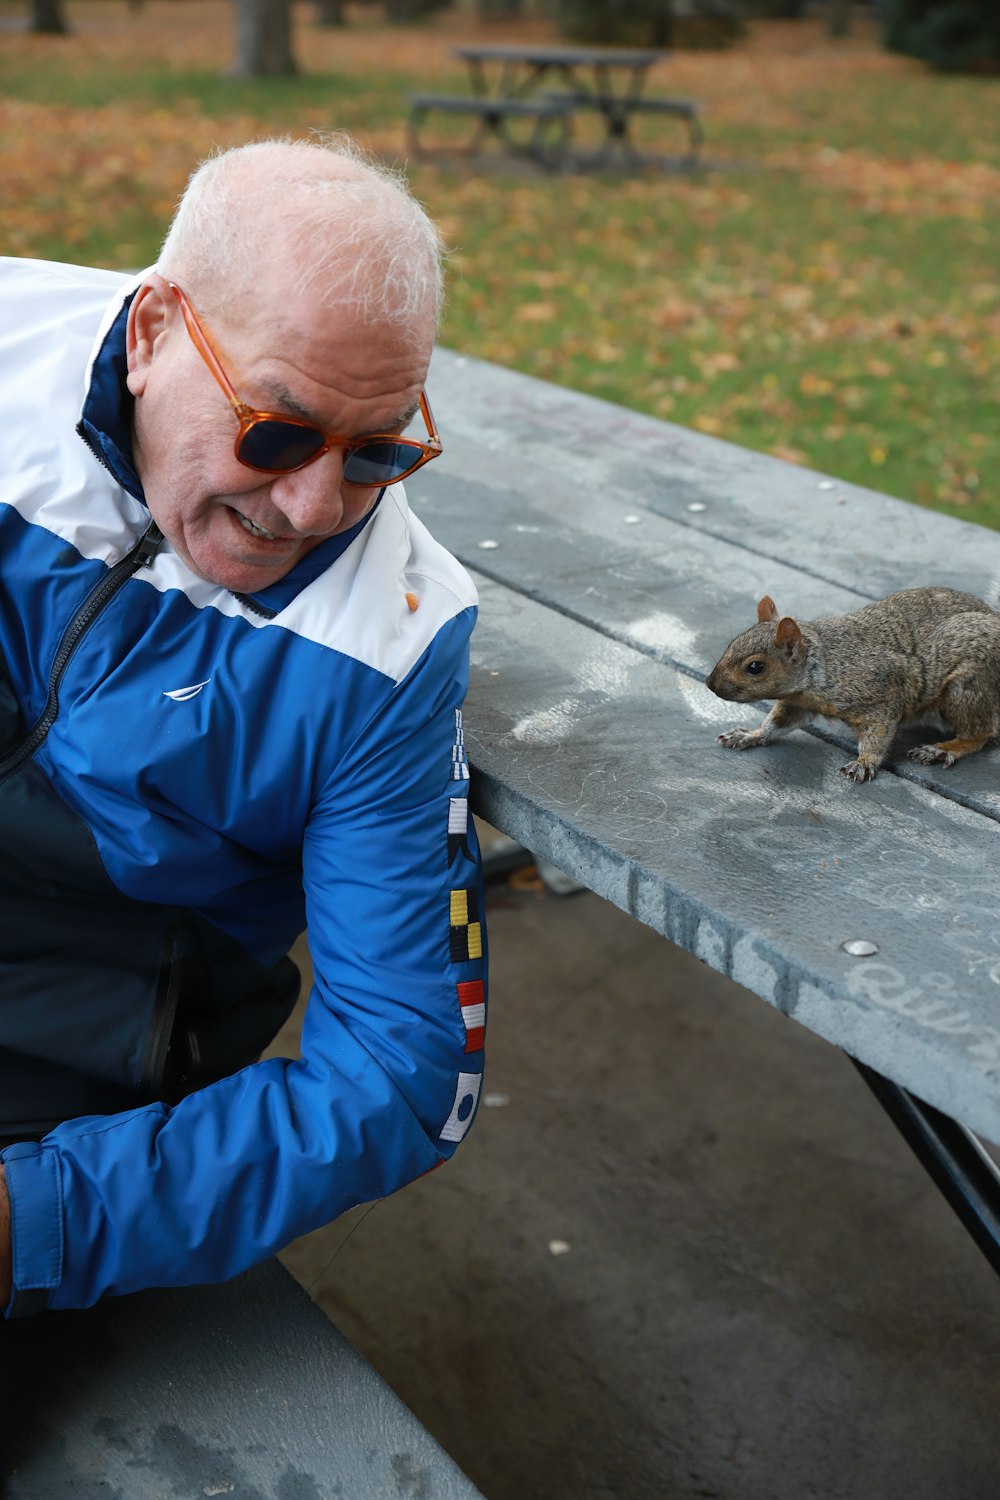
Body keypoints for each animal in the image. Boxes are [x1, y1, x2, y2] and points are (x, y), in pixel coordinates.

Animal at [704, 582, 1000, 780]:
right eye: (732, 643)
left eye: (755, 667)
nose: (710, 684)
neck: (823, 666)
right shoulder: (797, 702)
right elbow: (776, 724)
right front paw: (750, 735)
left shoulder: (882, 695)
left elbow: (877, 736)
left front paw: (864, 762)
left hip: (966, 689)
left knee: (980, 734)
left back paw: (942, 749)